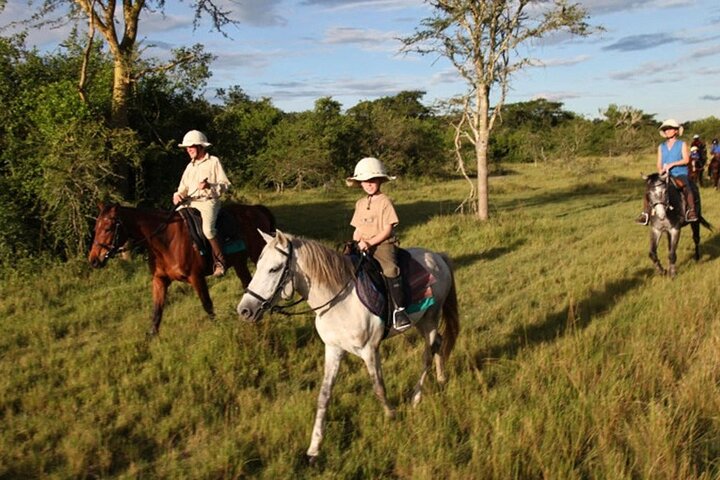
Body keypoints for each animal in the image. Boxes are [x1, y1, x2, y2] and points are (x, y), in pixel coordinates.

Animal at [89, 202, 275, 335]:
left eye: (108, 228)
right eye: (95, 228)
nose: (93, 260)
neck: (165, 240)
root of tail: (255, 209)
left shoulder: (196, 277)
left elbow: (207, 305)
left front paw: (218, 328)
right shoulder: (160, 280)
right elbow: (157, 311)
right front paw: (151, 338)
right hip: (240, 263)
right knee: (247, 283)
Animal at [236, 230, 460, 462]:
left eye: (274, 268)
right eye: (258, 266)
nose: (244, 310)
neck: (339, 300)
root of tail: (437, 256)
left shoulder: (370, 350)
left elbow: (378, 388)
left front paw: (391, 415)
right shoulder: (333, 349)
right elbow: (324, 396)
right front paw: (314, 448)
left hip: (430, 318)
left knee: (428, 353)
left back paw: (416, 397)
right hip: (423, 322)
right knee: (439, 343)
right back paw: (441, 378)